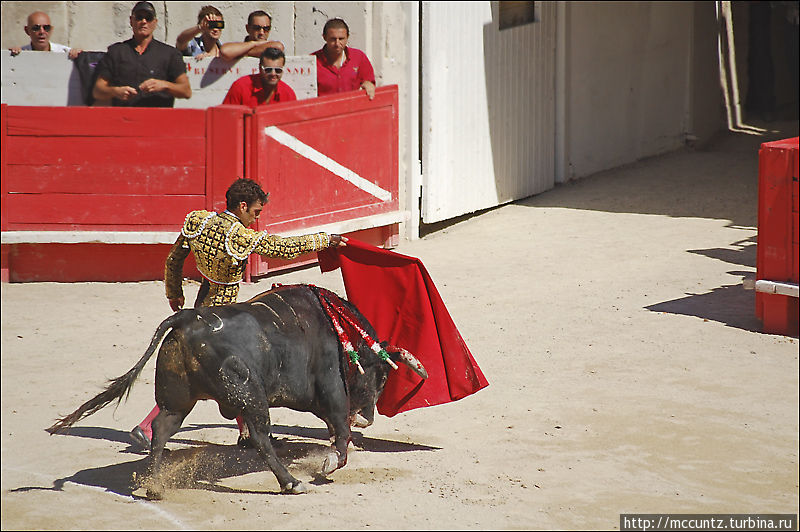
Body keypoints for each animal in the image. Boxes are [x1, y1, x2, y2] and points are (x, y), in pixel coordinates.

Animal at [47, 284, 428, 496]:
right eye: (382, 377)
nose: (368, 417)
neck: (341, 332)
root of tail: (187, 318)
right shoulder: (333, 391)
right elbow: (341, 436)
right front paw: (328, 464)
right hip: (252, 397)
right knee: (260, 437)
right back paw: (291, 483)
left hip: (178, 400)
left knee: (162, 428)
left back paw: (154, 487)